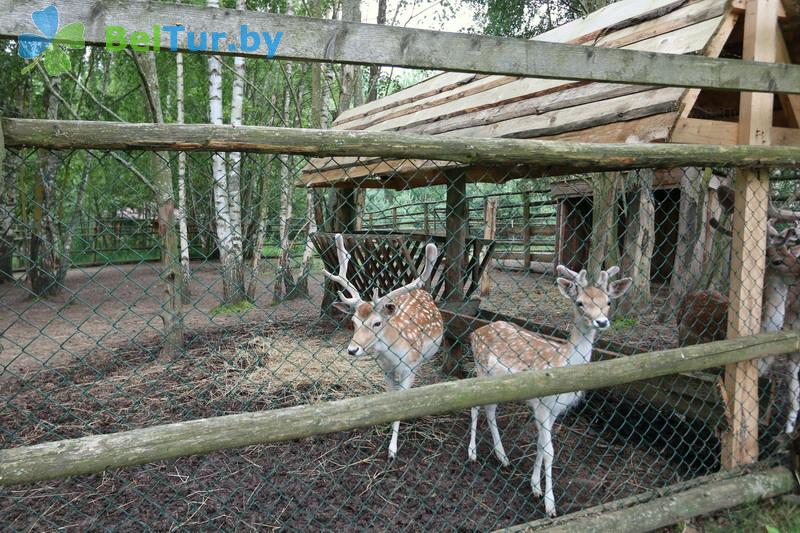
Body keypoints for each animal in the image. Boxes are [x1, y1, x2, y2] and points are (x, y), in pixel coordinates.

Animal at [324, 233, 444, 458]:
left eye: (377, 323)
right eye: (353, 321)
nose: (352, 350)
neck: (395, 356)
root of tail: (424, 293)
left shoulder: (409, 369)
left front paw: (392, 450)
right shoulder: (385, 369)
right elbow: (390, 397)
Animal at [468, 266, 632, 516]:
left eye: (608, 301)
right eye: (580, 302)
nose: (602, 322)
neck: (562, 363)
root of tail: (476, 331)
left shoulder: (554, 410)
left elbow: (540, 444)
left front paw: (535, 487)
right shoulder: (543, 405)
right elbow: (549, 450)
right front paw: (550, 505)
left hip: (497, 384)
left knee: (490, 410)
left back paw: (502, 456)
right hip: (481, 370)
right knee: (476, 407)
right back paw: (473, 454)